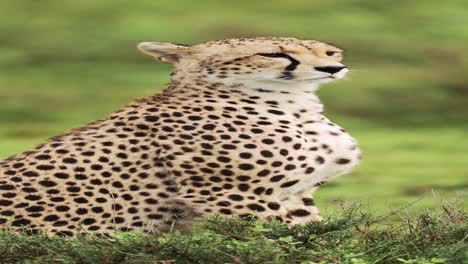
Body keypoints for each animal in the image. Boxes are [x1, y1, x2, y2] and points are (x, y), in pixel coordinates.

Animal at [0, 36, 362, 235]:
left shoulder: (296, 194)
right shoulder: (231, 192)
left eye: (330, 53)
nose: (333, 69)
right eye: (273, 54)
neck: (294, 103)